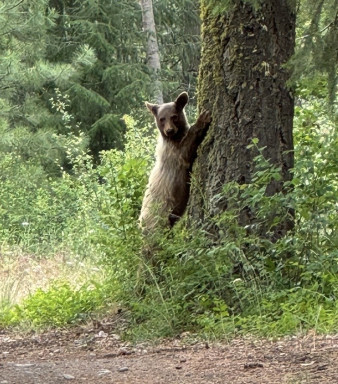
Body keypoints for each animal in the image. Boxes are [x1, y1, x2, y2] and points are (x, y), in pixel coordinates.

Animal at [139, 91, 210, 232]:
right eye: (162, 119)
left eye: (174, 116)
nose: (169, 130)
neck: (175, 138)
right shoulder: (172, 154)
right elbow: (185, 152)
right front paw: (202, 119)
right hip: (157, 219)